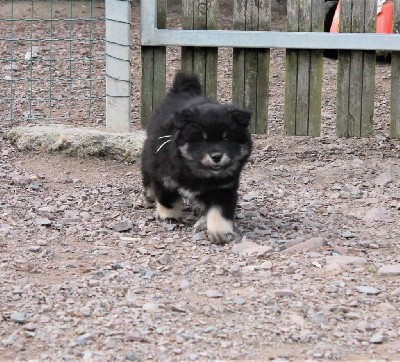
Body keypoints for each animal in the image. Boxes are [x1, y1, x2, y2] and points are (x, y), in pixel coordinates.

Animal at [141, 71, 253, 243]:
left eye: (226, 139)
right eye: (203, 140)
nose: (216, 156)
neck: (199, 173)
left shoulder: (224, 188)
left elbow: (220, 210)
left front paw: (220, 232)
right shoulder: (166, 176)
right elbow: (168, 197)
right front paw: (169, 215)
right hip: (150, 156)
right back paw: (150, 194)